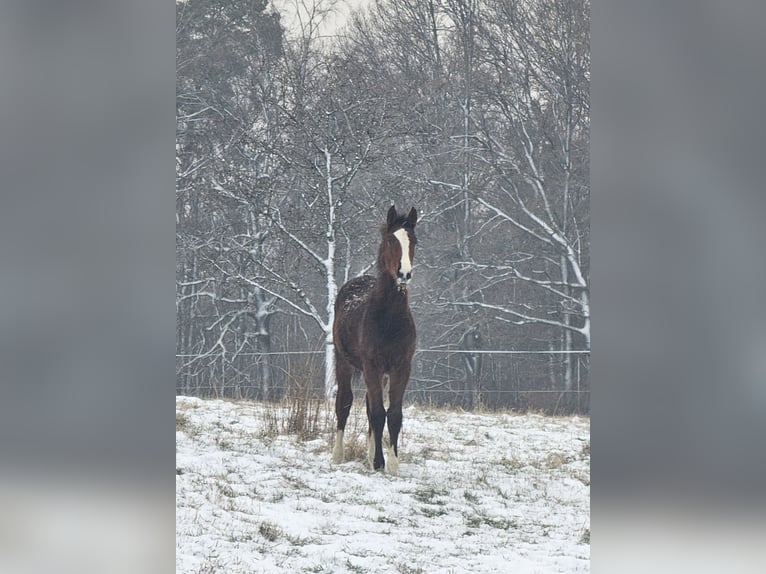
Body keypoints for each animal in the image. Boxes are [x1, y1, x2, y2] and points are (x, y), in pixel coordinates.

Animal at [331, 205, 418, 474]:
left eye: (414, 241)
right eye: (391, 240)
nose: (404, 274)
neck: (389, 320)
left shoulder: (401, 368)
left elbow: (394, 415)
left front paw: (392, 464)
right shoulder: (371, 366)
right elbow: (379, 413)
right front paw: (380, 463)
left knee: (370, 407)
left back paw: (369, 456)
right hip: (343, 361)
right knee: (344, 403)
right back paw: (337, 455)